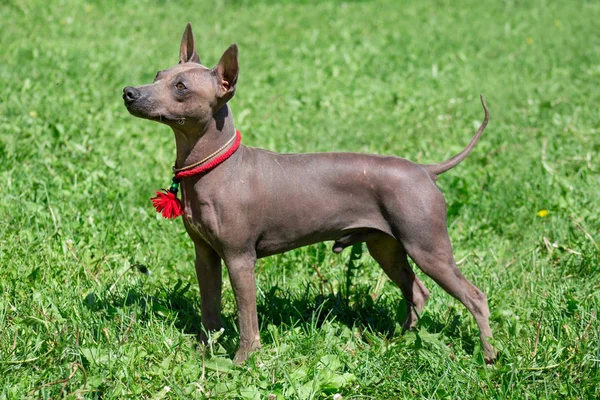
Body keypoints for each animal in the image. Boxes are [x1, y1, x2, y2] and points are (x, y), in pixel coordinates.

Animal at [123, 23, 496, 364]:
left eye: (180, 87)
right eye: (158, 75)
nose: (129, 92)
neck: (216, 167)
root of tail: (424, 169)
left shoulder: (240, 259)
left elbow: (246, 318)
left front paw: (243, 361)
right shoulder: (205, 257)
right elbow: (209, 310)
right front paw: (204, 353)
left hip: (428, 248)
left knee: (475, 296)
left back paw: (488, 356)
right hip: (386, 248)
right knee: (418, 292)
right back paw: (399, 342)